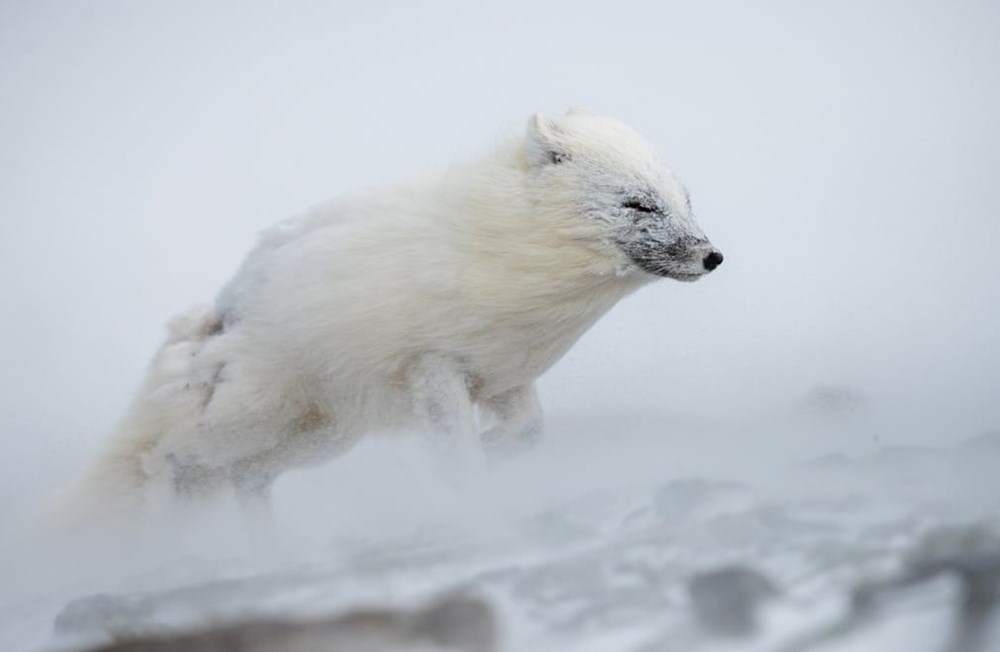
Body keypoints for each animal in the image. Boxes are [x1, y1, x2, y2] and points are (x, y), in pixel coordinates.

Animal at [72, 108, 728, 520]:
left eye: (685, 199)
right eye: (637, 204)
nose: (712, 256)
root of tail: (223, 305)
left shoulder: (506, 375)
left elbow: (528, 434)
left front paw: (493, 452)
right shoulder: (433, 366)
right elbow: (456, 453)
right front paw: (471, 493)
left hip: (322, 433)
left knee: (245, 476)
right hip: (255, 415)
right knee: (169, 458)